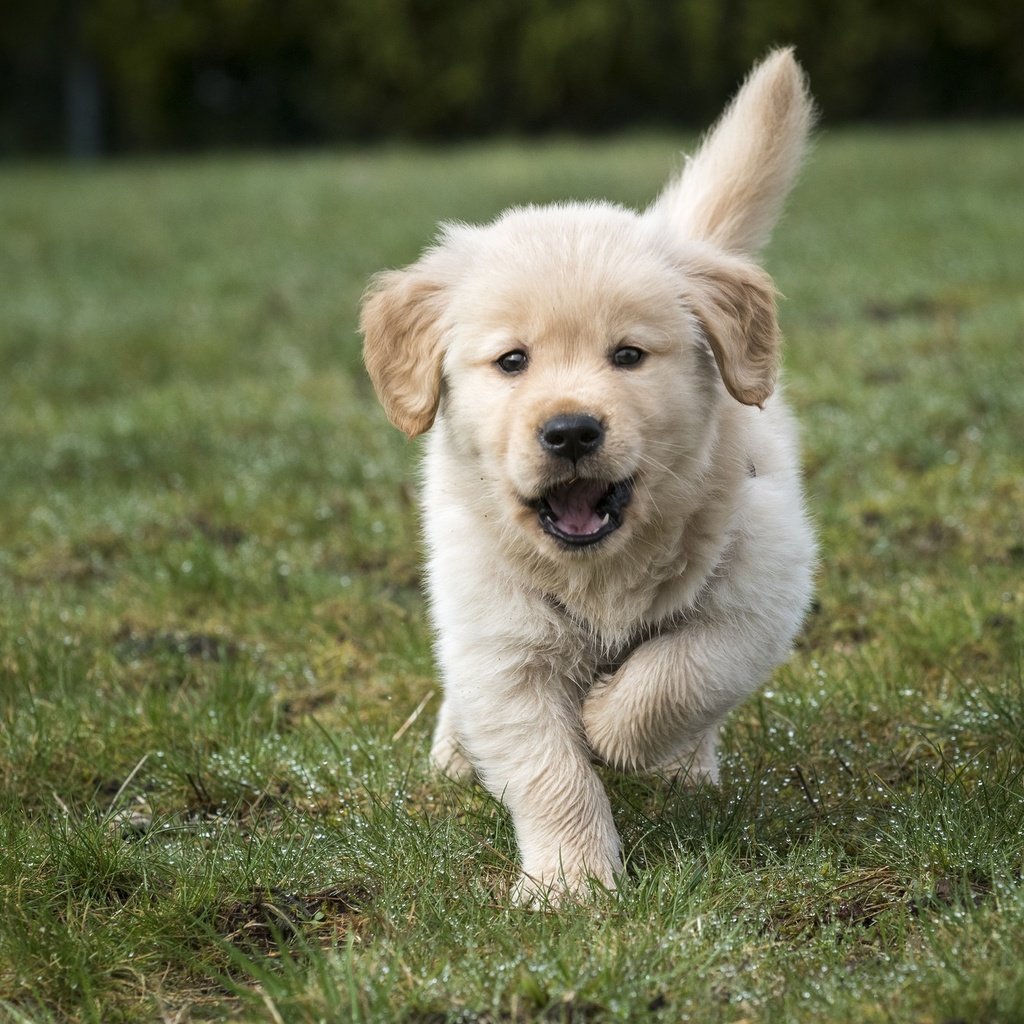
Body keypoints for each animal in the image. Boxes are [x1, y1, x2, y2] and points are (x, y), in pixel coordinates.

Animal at [360, 49, 815, 905]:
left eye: (628, 355)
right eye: (512, 361)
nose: (571, 431)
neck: (600, 570)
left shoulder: (759, 586)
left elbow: (679, 674)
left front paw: (611, 728)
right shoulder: (501, 644)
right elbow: (549, 770)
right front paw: (570, 885)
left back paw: (681, 767)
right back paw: (456, 753)